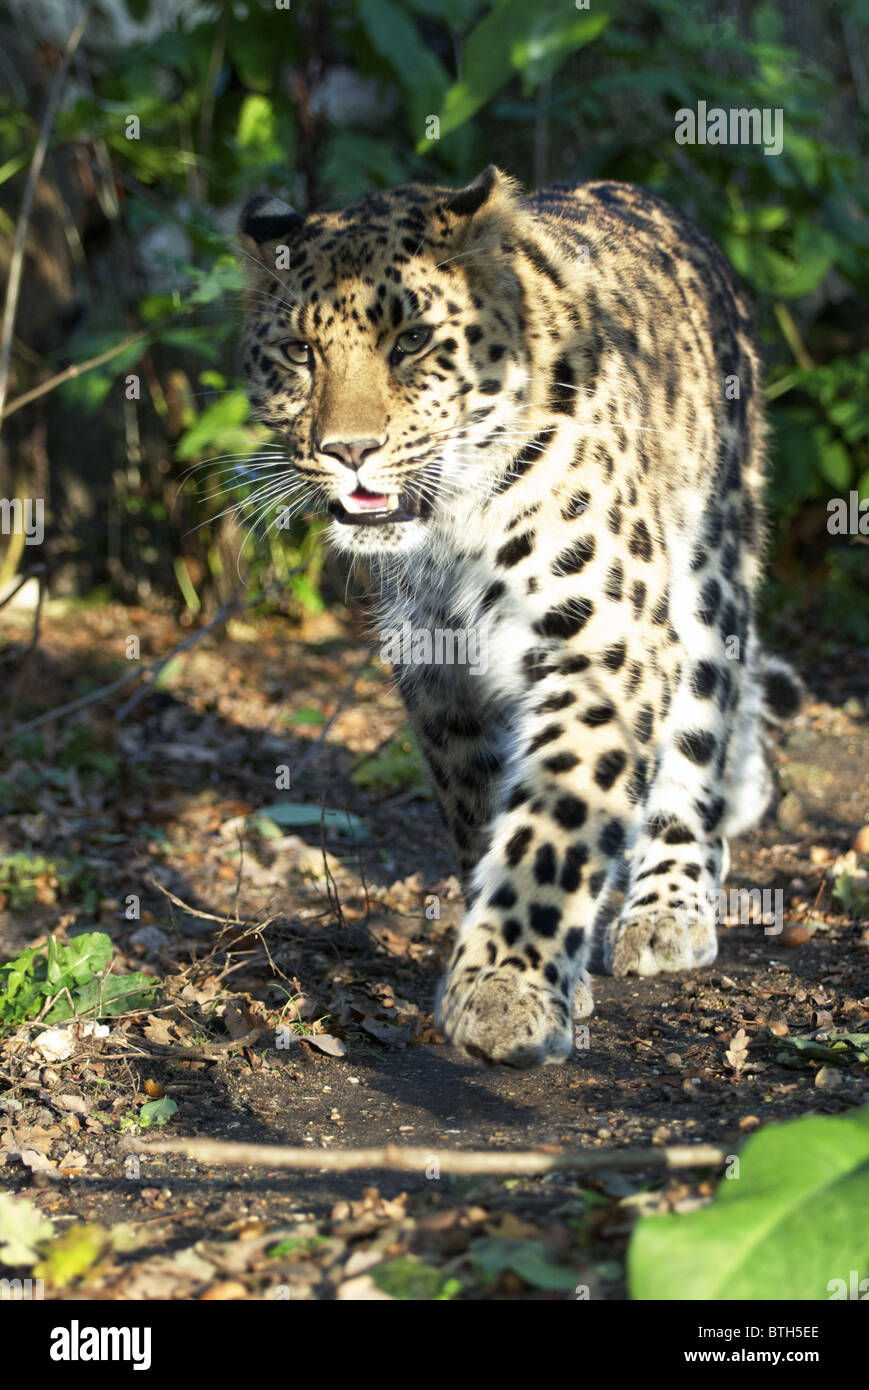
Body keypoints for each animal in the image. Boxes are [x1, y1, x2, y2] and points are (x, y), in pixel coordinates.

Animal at [237, 164, 801, 1069]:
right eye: (299, 352)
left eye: (411, 342)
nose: (346, 451)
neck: (452, 528)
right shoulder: (439, 676)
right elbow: (482, 814)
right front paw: (542, 974)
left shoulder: (604, 647)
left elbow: (558, 820)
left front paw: (504, 992)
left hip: (712, 567)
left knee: (700, 737)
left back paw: (668, 907)